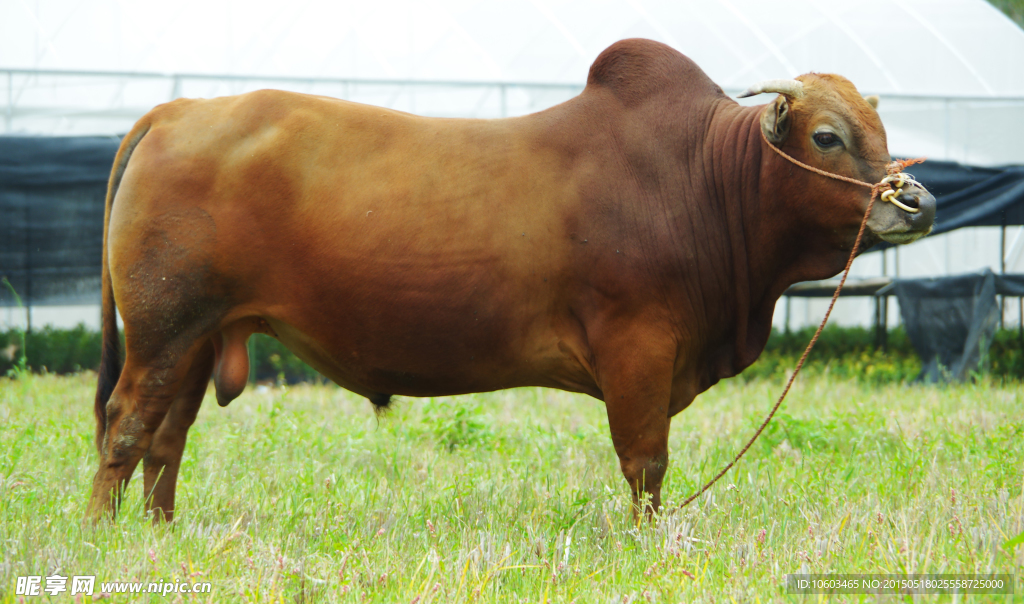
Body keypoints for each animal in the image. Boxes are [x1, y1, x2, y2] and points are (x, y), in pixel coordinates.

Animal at [88, 39, 937, 520]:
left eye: (880, 130)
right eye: (827, 137)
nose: (919, 203)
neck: (699, 178)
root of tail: (179, 109)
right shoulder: (638, 346)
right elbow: (646, 462)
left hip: (196, 336)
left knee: (167, 437)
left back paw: (159, 532)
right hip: (163, 329)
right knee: (126, 425)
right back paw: (102, 534)